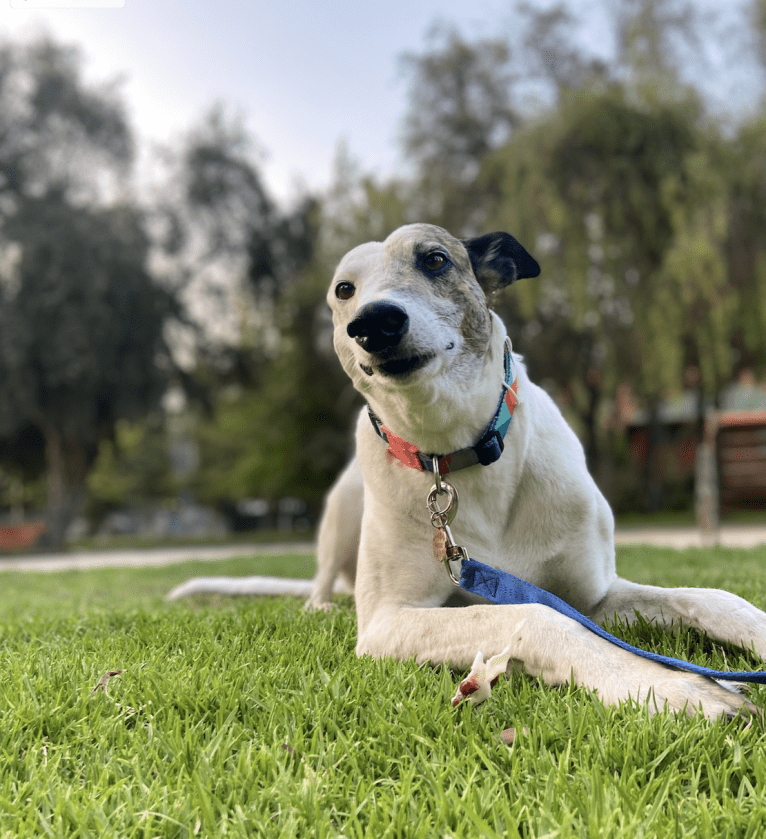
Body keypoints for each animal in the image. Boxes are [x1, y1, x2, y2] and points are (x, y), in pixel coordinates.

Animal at [308, 221, 766, 716]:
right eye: (345, 289)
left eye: (434, 259)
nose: (373, 322)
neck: (456, 449)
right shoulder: (387, 620)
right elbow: (537, 615)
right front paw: (673, 686)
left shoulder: (595, 596)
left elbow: (712, 597)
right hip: (342, 515)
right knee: (322, 577)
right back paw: (319, 606)